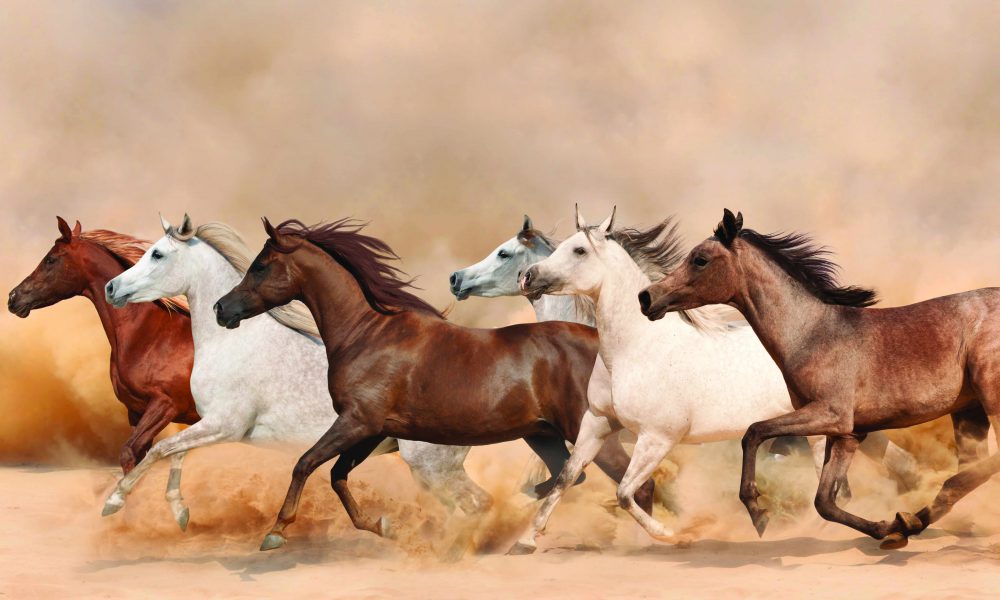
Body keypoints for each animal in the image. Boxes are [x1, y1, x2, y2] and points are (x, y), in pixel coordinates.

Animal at [8, 218, 199, 498]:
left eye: (50, 259)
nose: (13, 297)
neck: (150, 335)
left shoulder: (165, 405)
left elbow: (129, 453)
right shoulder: (136, 411)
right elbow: (136, 459)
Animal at [101, 214, 488, 532]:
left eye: (157, 254)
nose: (111, 287)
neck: (235, 342)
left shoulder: (224, 424)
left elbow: (159, 449)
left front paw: (114, 501)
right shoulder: (206, 423)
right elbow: (173, 452)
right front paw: (179, 512)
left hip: (430, 465)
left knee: (474, 504)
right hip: (434, 469)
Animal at [213, 216, 654, 551]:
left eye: (260, 266)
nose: (221, 308)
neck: (367, 333)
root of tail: (600, 339)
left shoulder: (357, 423)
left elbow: (305, 463)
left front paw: (274, 532)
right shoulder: (373, 430)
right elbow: (338, 476)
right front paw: (383, 527)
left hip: (590, 432)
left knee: (634, 485)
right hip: (541, 434)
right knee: (570, 476)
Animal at [513, 206, 931, 554]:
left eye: (579, 251)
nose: (527, 277)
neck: (635, 348)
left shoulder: (657, 437)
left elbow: (625, 493)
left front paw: (676, 536)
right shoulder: (598, 423)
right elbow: (566, 477)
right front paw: (526, 540)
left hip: (822, 430)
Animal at [639, 208, 995, 549]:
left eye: (700, 259)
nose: (646, 297)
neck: (812, 334)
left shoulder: (830, 415)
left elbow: (754, 433)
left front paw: (757, 512)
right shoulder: (848, 433)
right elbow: (825, 500)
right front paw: (888, 528)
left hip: (990, 398)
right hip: (969, 412)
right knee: (971, 469)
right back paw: (914, 521)